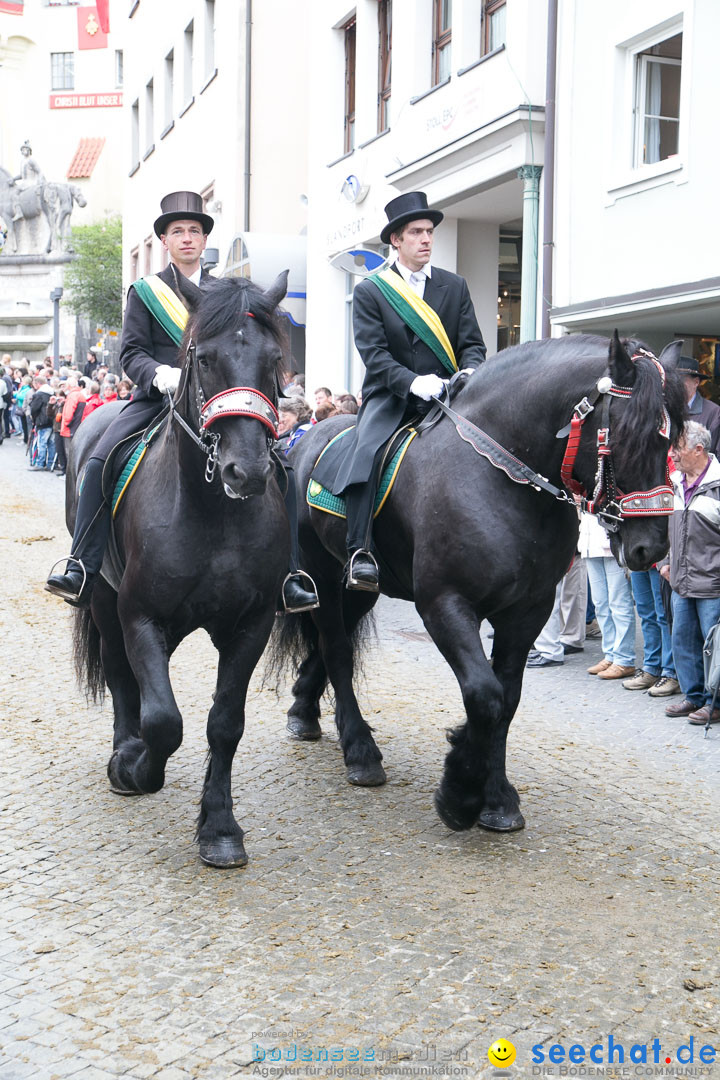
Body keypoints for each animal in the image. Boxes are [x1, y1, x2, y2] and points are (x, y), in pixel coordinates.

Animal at [71, 272, 289, 868]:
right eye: (205, 358)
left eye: (274, 359)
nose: (247, 470)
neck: (214, 514)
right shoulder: (139, 616)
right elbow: (164, 722)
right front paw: (135, 767)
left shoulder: (251, 625)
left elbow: (225, 723)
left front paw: (219, 828)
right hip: (103, 599)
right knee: (120, 674)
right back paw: (126, 750)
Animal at [276, 332, 686, 829]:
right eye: (628, 434)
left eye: (673, 440)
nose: (653, 549)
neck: (502, 477)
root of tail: (302, 443)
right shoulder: (445, 605)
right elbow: (485, 694)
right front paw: (460, 794)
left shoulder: (527, 611)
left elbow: (506, 699)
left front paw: (496, 798)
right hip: (321, 574)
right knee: (336, 648)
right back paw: (360, 751)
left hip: (357, 588)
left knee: (329, 644)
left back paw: (304, 711)